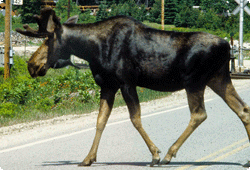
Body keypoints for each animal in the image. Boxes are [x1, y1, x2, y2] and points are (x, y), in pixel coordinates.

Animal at [16, 7, 250, 166]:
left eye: (48, 39)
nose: (31, 65)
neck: (91, 50)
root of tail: (227, 45)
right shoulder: (107, 85)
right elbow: (100, 120)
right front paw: (88, 158)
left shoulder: (126, 82)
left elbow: (135, 118)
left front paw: (154, 154)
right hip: (219, 79)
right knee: (243, 109)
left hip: (195, 81)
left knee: (199, 114)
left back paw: (168, 154)